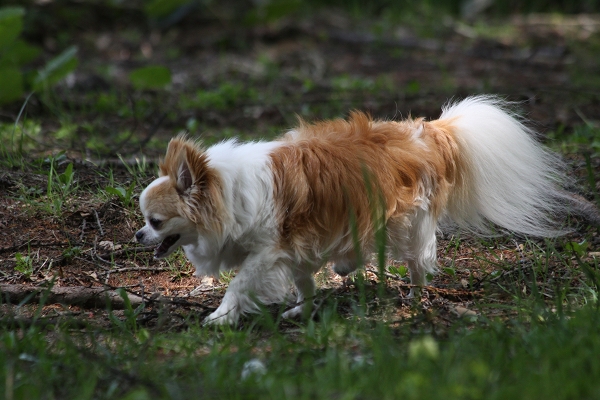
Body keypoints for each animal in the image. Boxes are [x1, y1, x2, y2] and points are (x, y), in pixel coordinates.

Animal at [137, 97, 572, 324]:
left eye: (155, 221)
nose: (138, 234)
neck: (226, 192)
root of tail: (425, 131)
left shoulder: (269, 250)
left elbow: (238, 285)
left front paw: (221, 317)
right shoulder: (294, 248)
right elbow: (304, 281)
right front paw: (302, 308)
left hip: (406, 222)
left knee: (416, 263)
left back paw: (414, 297)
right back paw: (347, 268)